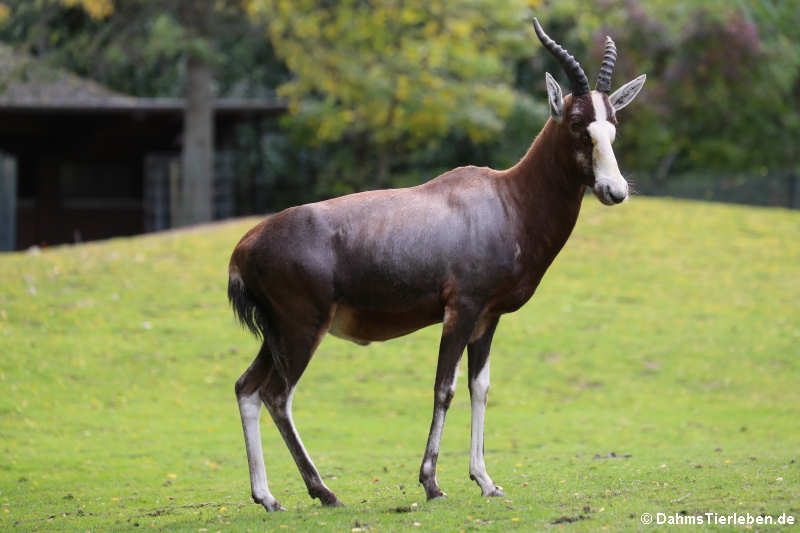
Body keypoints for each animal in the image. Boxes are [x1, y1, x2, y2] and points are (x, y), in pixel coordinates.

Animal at [225, 19, 644, 512]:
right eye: (578, 124)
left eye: (612, 126)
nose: (615, 190)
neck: (507, 198)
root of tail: (245, 246)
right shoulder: (460, 311)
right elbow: (444, 388)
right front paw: (431, 483)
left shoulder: (487, 318)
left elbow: (479, 388)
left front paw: (486, 481)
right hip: (301, 329)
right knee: (277, 396)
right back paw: (324, 492)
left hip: (277, 334)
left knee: (247, 388)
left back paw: (268, 497)